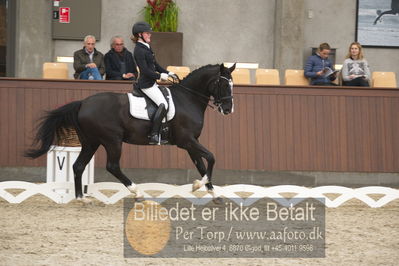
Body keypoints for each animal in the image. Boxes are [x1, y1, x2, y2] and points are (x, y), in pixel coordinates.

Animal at [25, 63, 236, 203]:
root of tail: (83, 103)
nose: (228, 109)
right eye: (223, 84)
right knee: (112, 166)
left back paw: (81, 198)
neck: (187, 99)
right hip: (112, 140)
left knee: (78, 166)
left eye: (232, 84)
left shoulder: (191, 142)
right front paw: (199, 186)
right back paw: (137, 192)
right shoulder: (187, 140)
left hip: (91, 142)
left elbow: (202, 165)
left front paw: (213, 194)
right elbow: (211, 157)